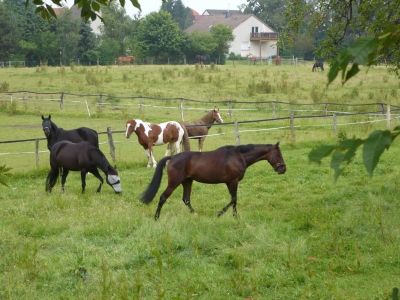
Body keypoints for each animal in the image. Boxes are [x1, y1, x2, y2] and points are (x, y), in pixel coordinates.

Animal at [140, 142, 284, 219]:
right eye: (278, 155)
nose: (283, 169)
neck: (239, 156)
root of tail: (172, 157)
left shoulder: (229, 182)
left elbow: (233, 199)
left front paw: (231, 215)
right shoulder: (233, 181)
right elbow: (234, 199)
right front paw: (224, 214)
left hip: (187, 181)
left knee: (186, 199)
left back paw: (195, 214)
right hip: (174, 183)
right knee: (163, 197)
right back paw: (156, 217)